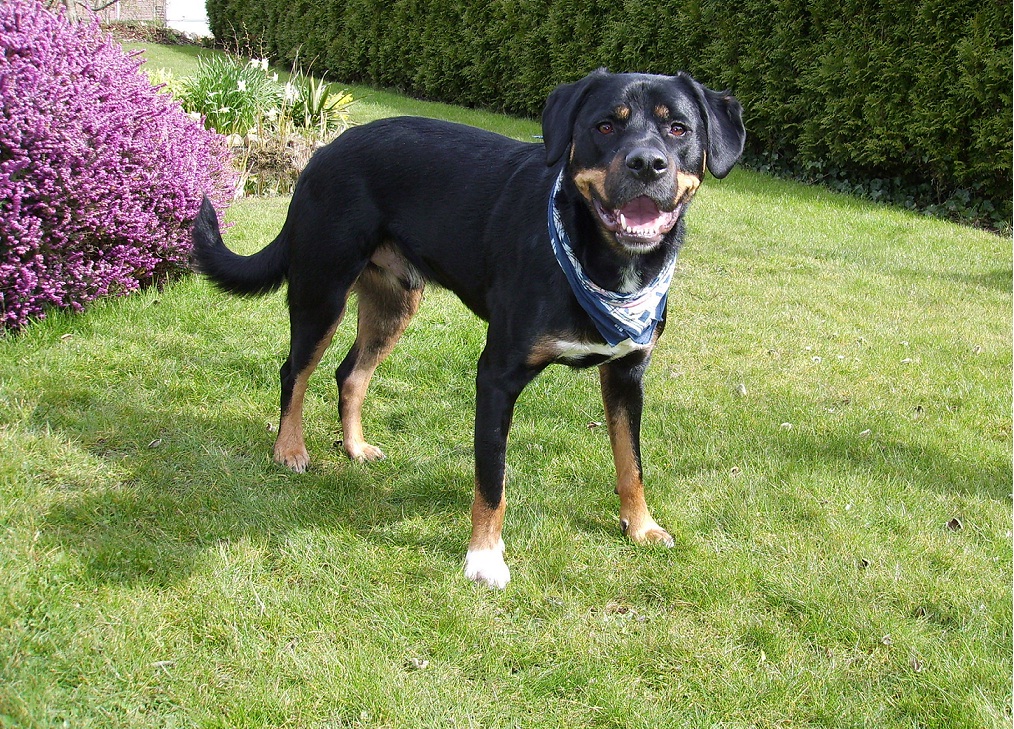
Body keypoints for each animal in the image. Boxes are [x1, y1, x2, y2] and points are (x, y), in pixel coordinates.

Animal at [190, 68, 746, 592]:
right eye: (606, 125)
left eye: (678, 129)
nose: (647, 164)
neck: (601, 261)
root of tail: (326, 149)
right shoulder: (497, 376)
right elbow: (491, 479)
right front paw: (484, 559)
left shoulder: (627, 372)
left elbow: (631, 463)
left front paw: (641, 526)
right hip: (321, 289)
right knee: (296, 371)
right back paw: (289, 450)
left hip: (394, 303)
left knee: (350, 373)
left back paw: (354, 447)